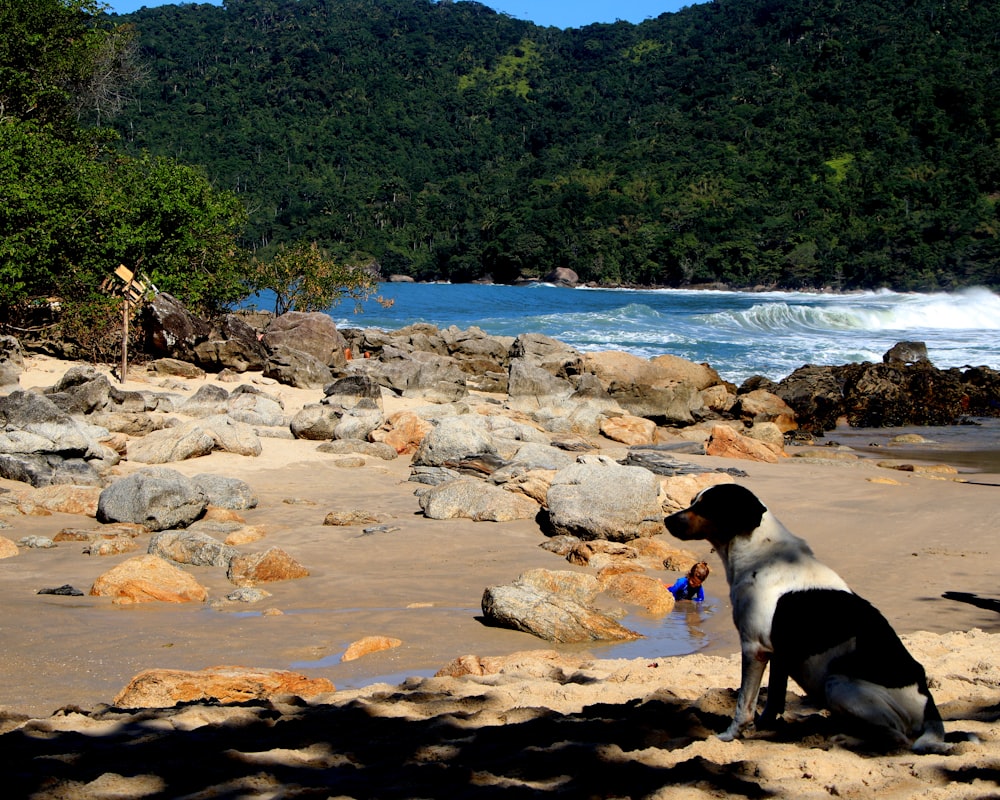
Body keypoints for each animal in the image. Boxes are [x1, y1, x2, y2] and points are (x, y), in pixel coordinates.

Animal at [668, 484, 948, 752]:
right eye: (693, 501)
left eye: (706, 506)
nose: (667, 520)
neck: (759, 553)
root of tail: (929, 708)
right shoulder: (778, 653)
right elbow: (774, 700)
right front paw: (765, 727)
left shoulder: (754, 648)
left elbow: (743, 706)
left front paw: (729, 735)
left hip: (837, 684)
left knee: (897, 737)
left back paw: (846, 740)